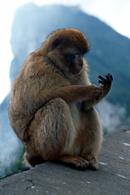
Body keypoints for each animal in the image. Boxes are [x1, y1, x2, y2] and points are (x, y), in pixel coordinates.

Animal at [9, 28, 112, 170]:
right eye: (76, 54)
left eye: (82, 55)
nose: (81, 62)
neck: (55, 64)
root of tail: (30, 151)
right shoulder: (39, 67)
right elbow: (35, 101)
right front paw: (86, 90)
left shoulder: (80, 71)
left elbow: (85, 104)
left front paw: (103, 90)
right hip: (36, 143)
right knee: (57, 103)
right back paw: (60, 156)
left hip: (74, 146)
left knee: (88, 110)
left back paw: (88, 156)